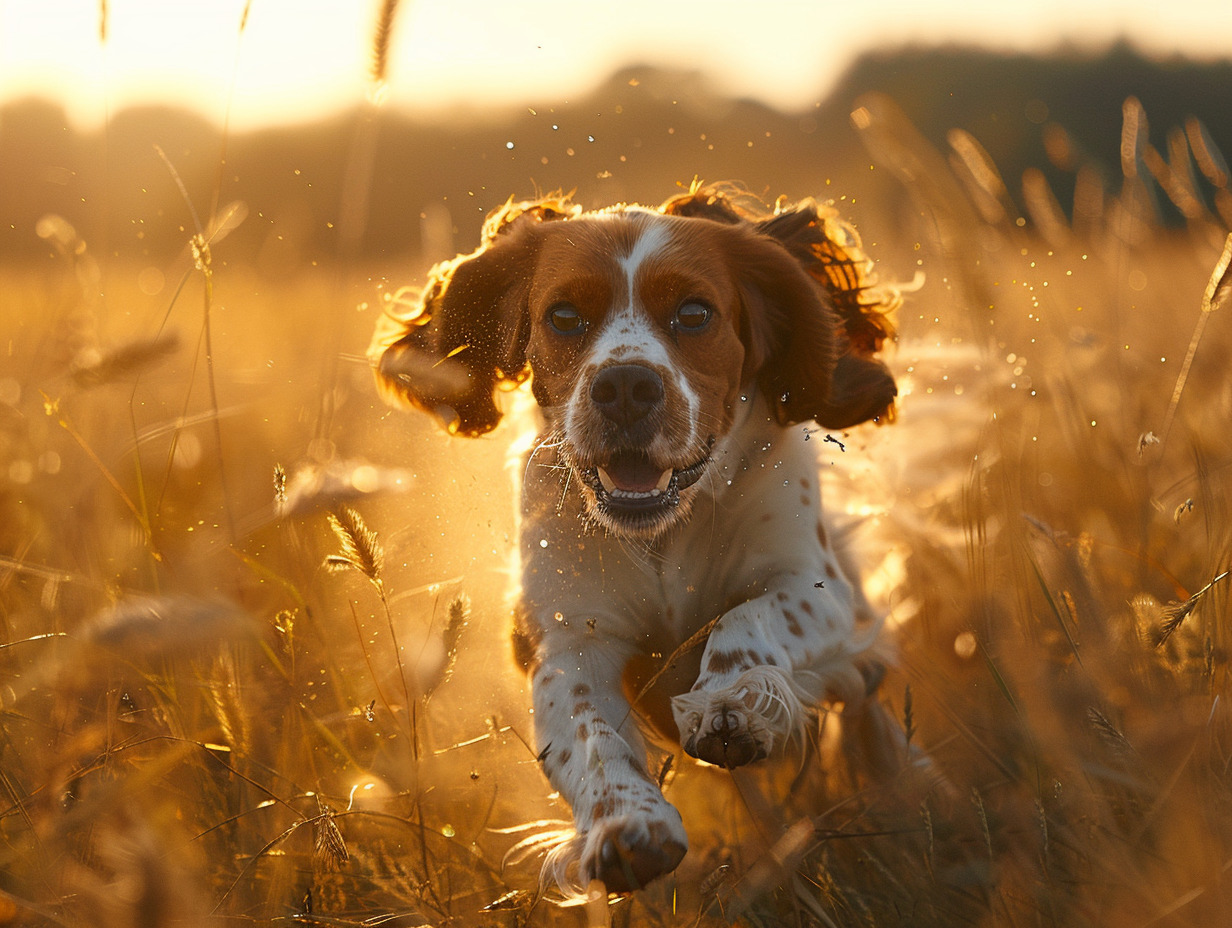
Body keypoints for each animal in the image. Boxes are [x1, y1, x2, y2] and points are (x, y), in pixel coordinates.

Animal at [369, 181, 901, 897]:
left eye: (695, 313)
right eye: (564, 316)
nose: (624, 386)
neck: (662, 532)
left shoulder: (817, 587)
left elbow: (747, 617)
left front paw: (730, 704)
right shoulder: (568, 642)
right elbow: (590, 736)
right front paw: (627, 827)